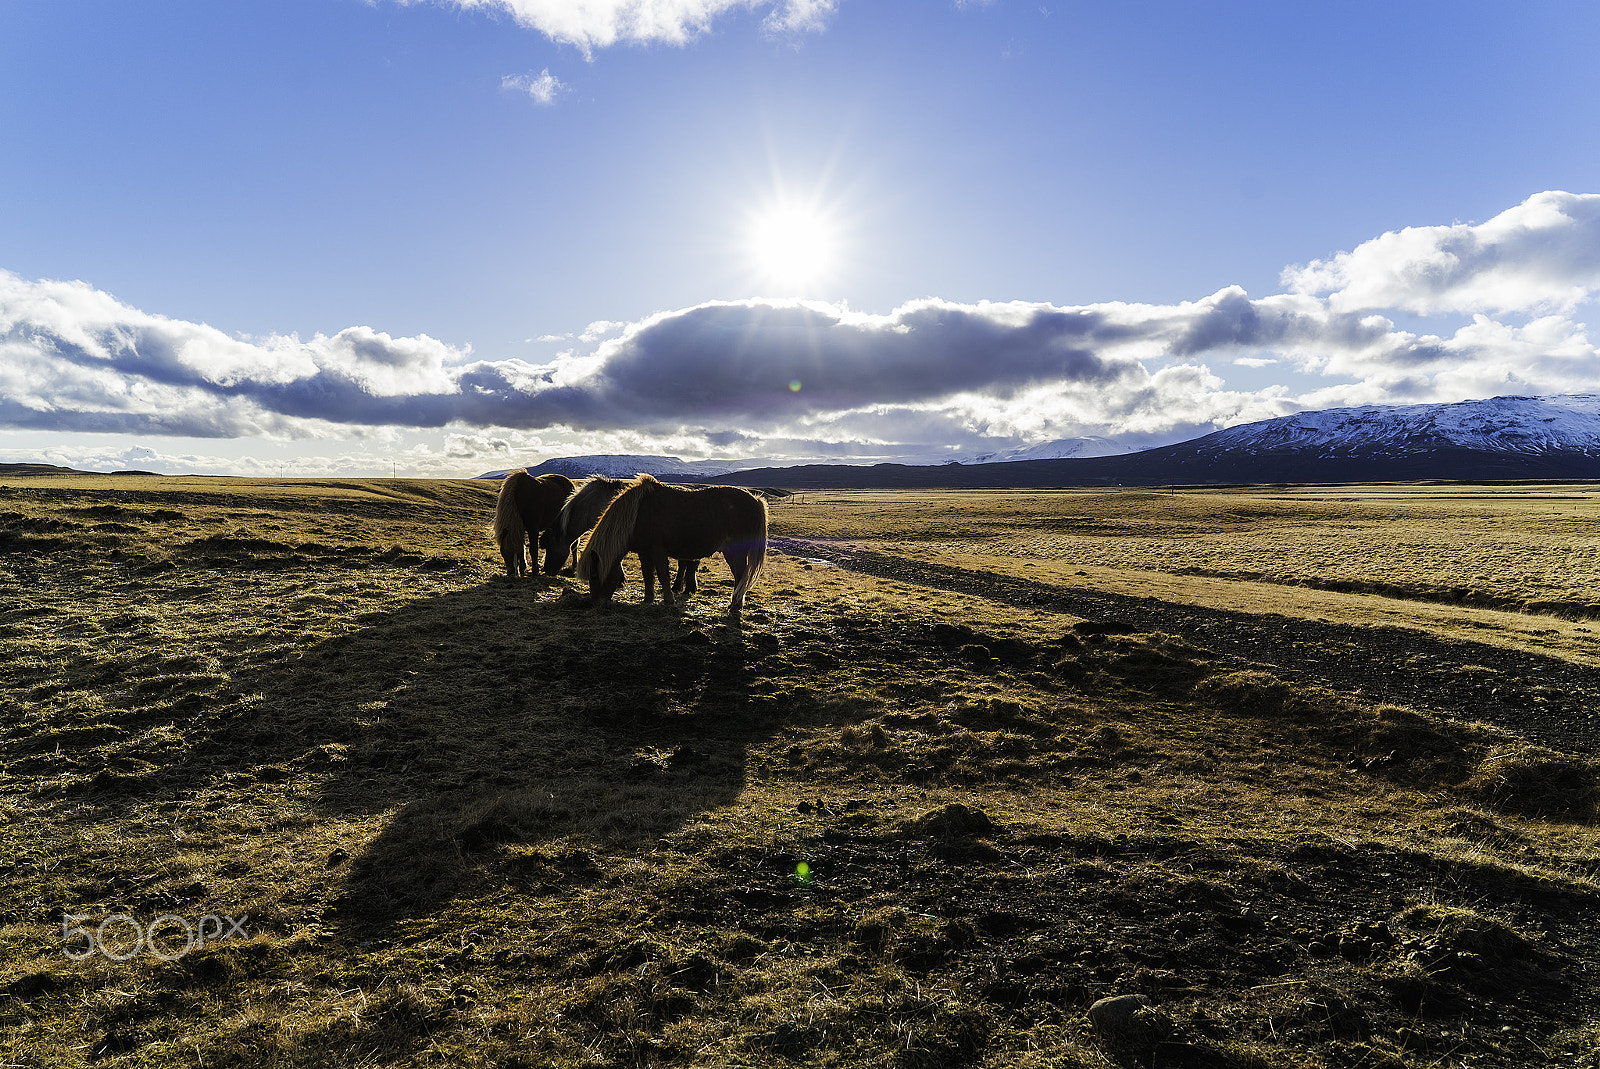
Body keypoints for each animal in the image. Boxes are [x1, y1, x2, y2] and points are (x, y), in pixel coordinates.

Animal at [576, 470, 768, 614]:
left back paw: (735, 604)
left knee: (740, 575)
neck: (637, 515)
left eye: (595, 575)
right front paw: (648, 599)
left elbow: (663, 575)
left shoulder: (658, 551)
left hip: (736, 552)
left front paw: (668, 599)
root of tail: (755, 500)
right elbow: (648, 575)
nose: (597, 604)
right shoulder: (644, 552)